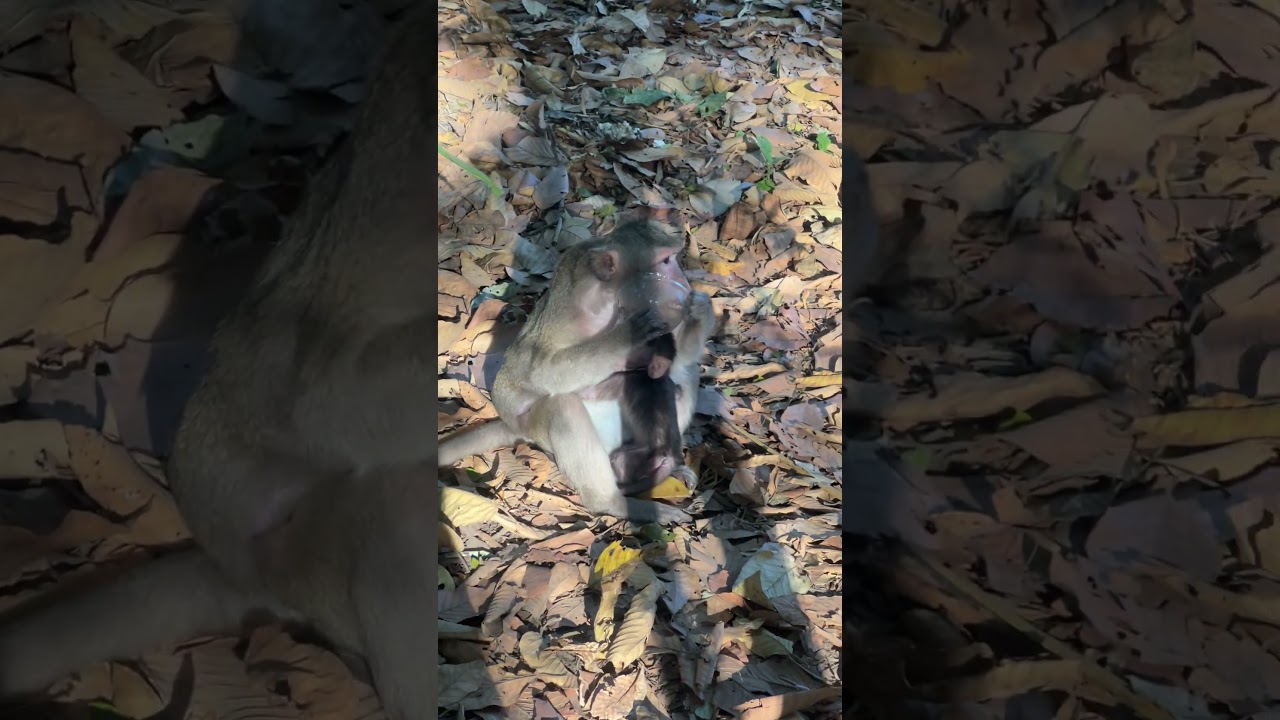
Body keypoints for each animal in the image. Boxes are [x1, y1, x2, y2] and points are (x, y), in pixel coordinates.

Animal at [438, 220, 716, 525]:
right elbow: (538, 373)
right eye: (665, 261)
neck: (609, 298)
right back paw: (615, 501)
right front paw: (625, 336)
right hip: (538, 429)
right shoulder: (567, 311)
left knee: (685, 375)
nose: (684, 283)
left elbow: (676, 363)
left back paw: (658, 468)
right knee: (562, 405)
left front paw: (700, 306)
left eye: (674, 259)